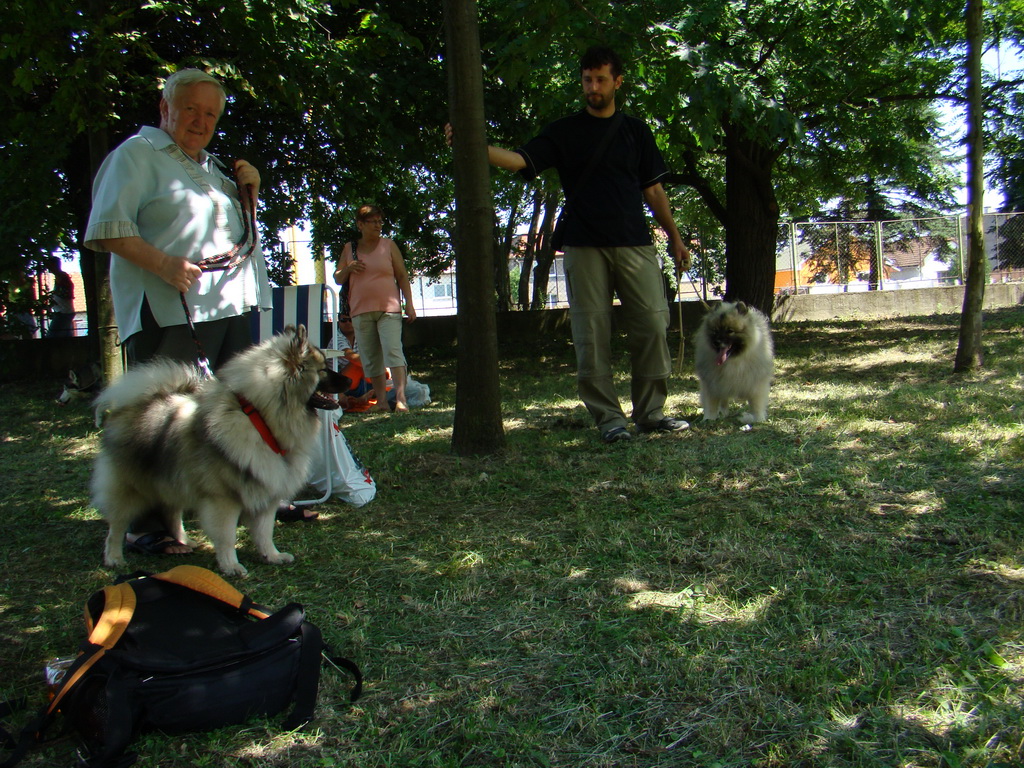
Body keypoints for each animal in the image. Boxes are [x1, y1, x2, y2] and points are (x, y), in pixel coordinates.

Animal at [96, 325, 352, 577]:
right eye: (323, 370)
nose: (349, 381)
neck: (262, 420)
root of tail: (142, 401)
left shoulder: (266, 488)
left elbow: (265, 531)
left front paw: (272, 556)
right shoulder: (223, 499)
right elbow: (227, 536)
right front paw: (231, 566)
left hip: (172, 479)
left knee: (172, 513)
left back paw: (184, 541)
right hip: (131, 489)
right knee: (117, 527)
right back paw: (115, 558)